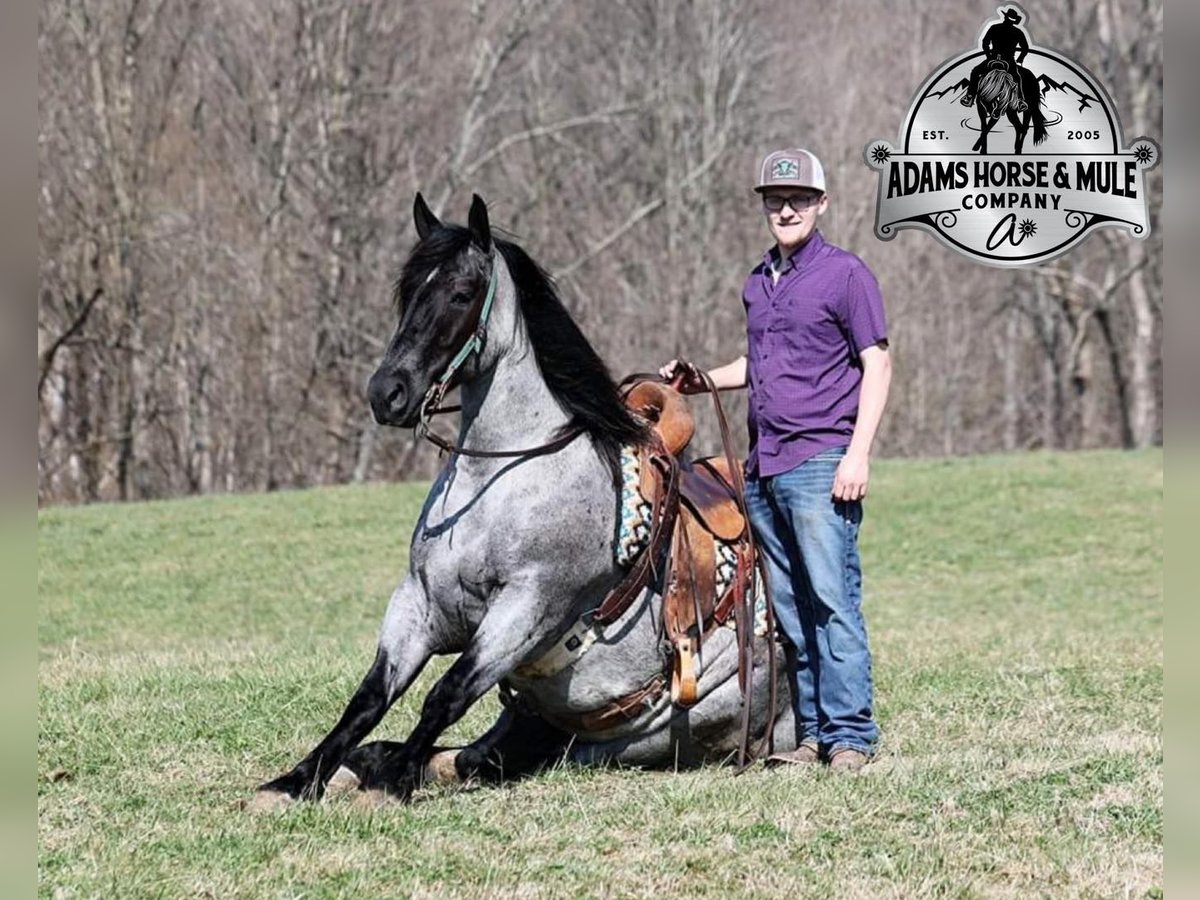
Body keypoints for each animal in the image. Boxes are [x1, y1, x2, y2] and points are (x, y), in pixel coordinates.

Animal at [250, 192, 796, 811]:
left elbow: (446, 693)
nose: (387, 393)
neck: (500, 478)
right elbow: (369, 698)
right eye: (407, 291)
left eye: (462, 293)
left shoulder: (527, 609)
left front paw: (393, 781)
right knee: (468, 754)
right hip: (534, 720)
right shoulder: (419, 603)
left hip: (625, 741)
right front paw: (296, 780)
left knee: (483, 758)